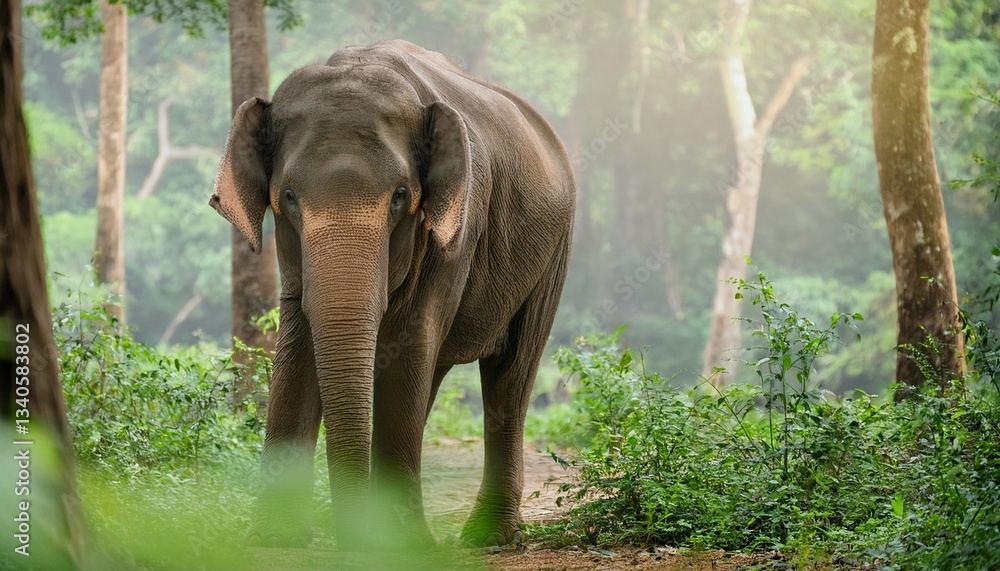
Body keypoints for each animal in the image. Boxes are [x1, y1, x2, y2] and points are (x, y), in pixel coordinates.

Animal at [210, 39, 575, 549]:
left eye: (401, 196)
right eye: (289, 197)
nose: (351, 538)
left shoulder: (454, 232)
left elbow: (409, 345)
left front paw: (403, 544)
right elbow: (299, 345)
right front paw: (273, 537)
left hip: (553, 254)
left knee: (511, 372)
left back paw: (488, 538)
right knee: (438, 373)